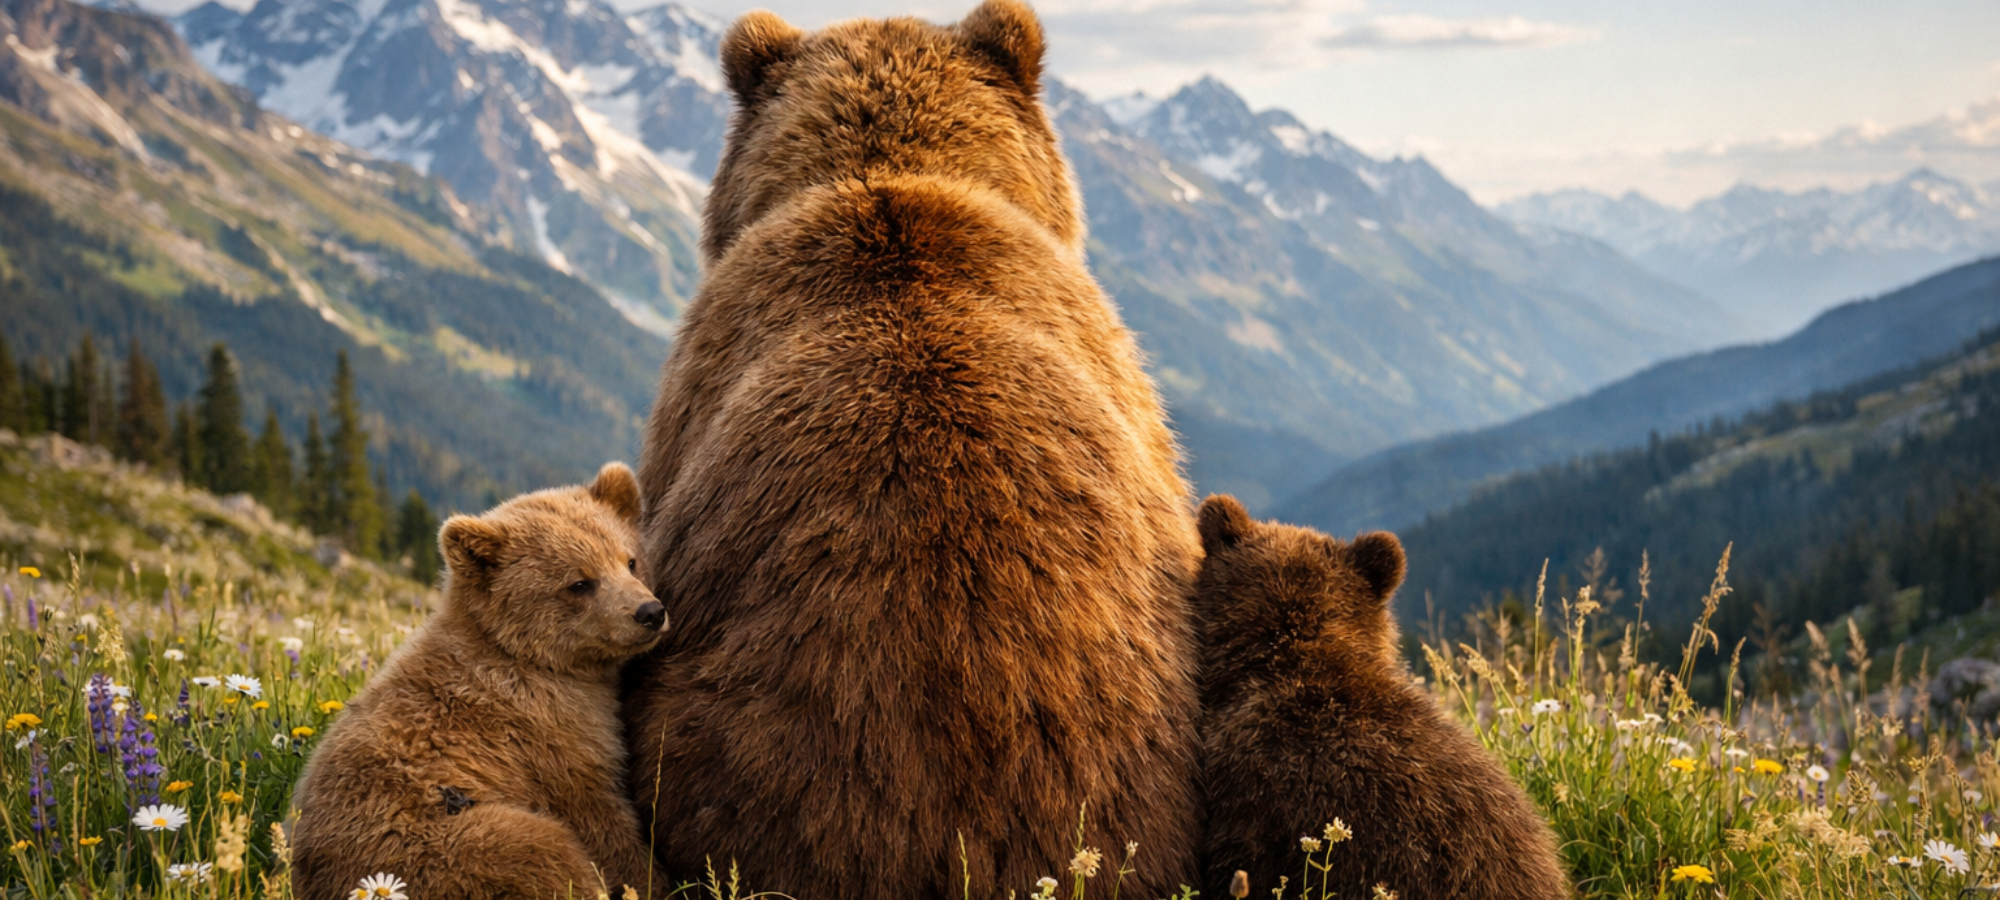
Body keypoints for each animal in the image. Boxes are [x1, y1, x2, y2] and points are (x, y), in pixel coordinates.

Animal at [291, 463, 669, 900]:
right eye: (579, 583)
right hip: (441, 847)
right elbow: (600, 816)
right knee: (540, 851)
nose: (649, 612)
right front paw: (656, 878)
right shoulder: (548, 737)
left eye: (630, 560)